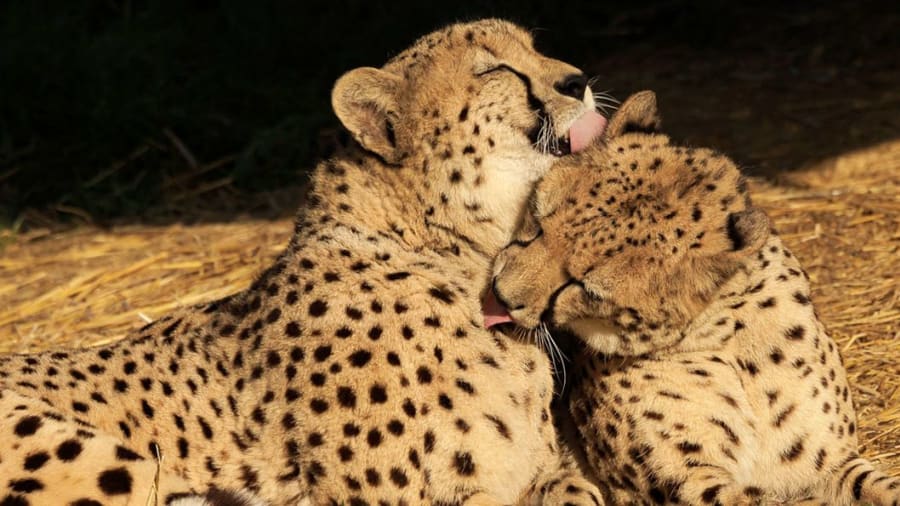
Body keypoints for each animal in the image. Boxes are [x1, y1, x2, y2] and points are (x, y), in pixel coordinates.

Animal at [0, 18, 608, 506]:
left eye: (534, 48)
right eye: (493, 68)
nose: (578, 81)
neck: (455, 253)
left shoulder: (538, 473)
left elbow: (574, 487)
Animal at [486, 92, 900, 506]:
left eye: (584, 288)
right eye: (537, 224)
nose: (500, 294)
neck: (730, 338)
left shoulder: (830, 463)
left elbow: (880, 486)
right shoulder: (686, 481)